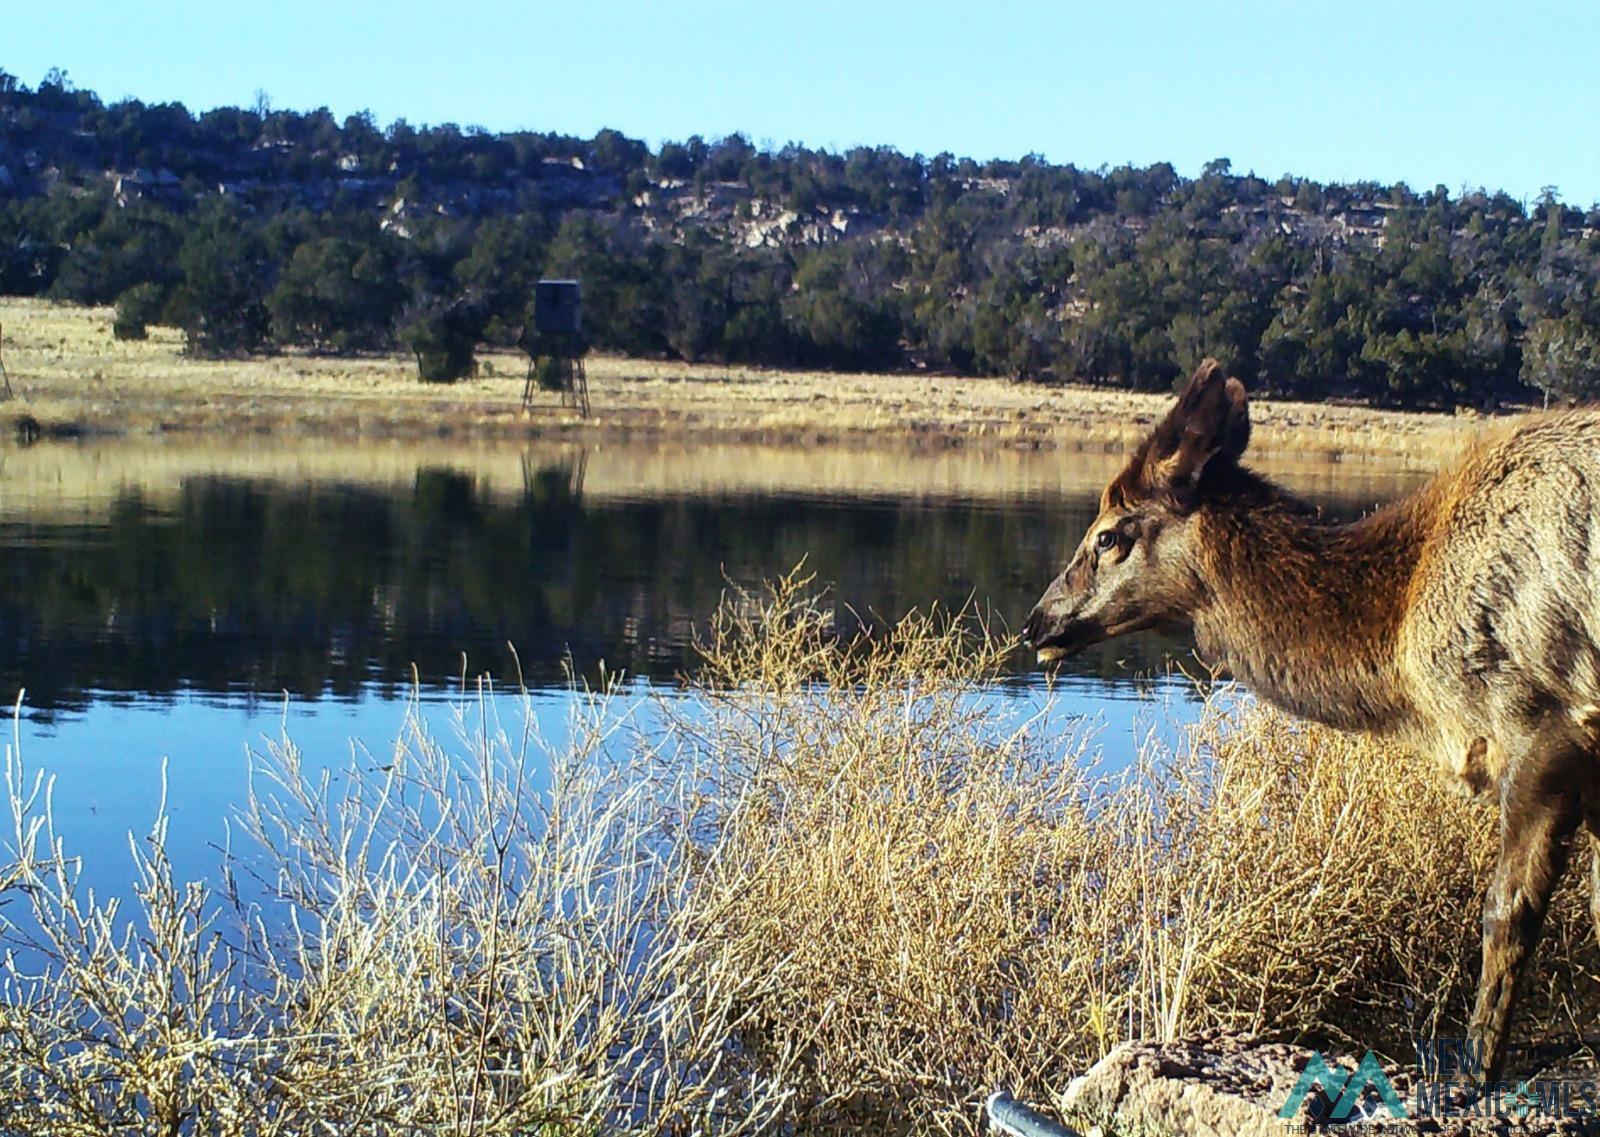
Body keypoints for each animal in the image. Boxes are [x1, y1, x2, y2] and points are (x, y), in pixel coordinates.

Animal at [1024, 363, 1600, 1087]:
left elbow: (1506, 909)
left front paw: (1475, 1072)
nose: (1037, 623)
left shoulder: (1543, 729)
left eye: (1108, 535)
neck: (1399, 630)